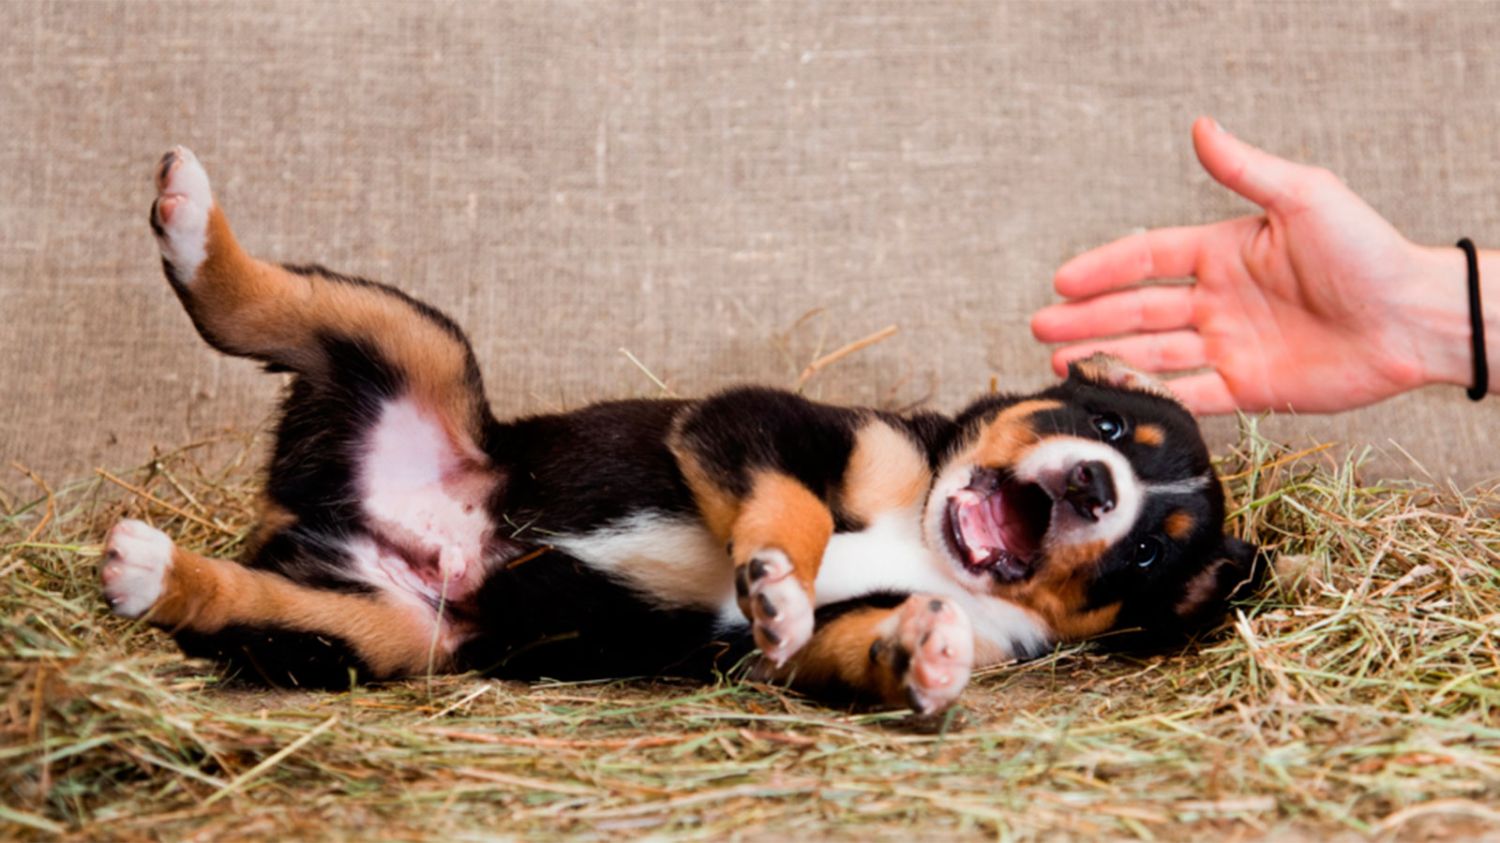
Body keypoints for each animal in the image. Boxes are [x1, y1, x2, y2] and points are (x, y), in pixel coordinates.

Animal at [100, 147, 1261, 714]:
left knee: (250, 601)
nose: (1098, 489)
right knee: (263, 304)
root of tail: (314, 511)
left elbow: (849, 646)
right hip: (407, 345)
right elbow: (794, 510)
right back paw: (189, 217)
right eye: (1107, 419)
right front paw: (777, 581)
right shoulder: (765, 423)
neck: (929, 544)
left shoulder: (828, 651)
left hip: (385, 628)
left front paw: (926, 659)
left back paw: (149, 570)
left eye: (1149, 553)